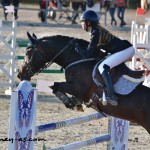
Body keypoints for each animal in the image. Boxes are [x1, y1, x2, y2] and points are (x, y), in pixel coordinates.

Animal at [17, 32, 150, 134]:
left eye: (28, 52)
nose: (20, 74)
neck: (78, 59)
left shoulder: (79, 89)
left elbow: (55, 85)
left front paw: (71, 103)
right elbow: (55, 87)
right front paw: (73, 102)